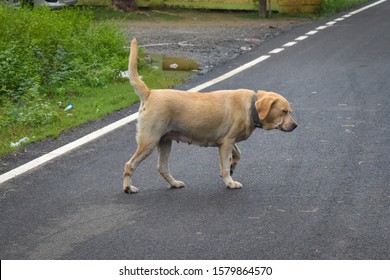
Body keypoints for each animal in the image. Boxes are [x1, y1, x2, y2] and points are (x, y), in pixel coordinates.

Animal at [122, 38, 296, 194]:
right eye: (284, 111)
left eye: (289, 111)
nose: (295, 125)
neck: (251, 106)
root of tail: (149, 93)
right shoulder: (226, 142)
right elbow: (225, 165)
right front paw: (230, 182)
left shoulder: (227, 141)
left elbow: (237, 154)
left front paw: (232, 166)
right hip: (149, 141)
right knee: (129, 165)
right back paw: (128, 188)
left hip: (164, 141)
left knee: (162, 167)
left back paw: (174, 183)